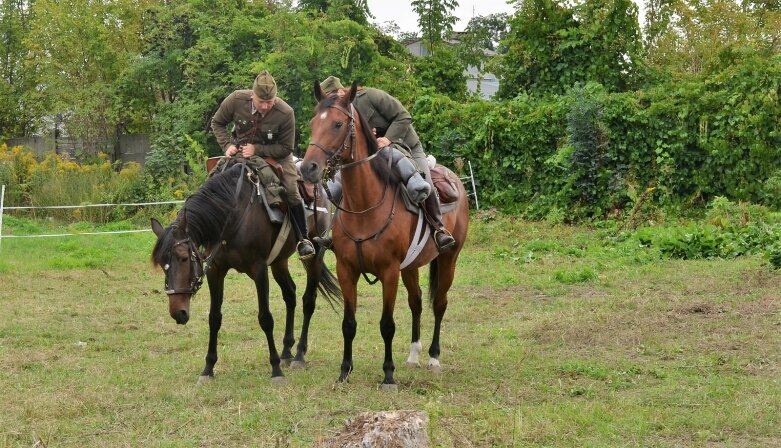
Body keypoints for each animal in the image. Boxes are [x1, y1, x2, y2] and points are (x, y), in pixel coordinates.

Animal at [149, 163, 338, 384]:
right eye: (162, 264)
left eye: (183, 258)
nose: (178, 312)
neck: (232, 215)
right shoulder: (216, 271)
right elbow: (214, 318)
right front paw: (208, 369)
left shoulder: (259, 270)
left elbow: (265, 318)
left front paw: (275, 370)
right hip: (279, 261)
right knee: (290, 295)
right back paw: (286, 351)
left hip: (314, 255)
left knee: (308, 300)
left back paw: (299, 355)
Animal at [300, 80, 470, 388]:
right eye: (312, 123)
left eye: (338, 124)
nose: (308, 168)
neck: (365, 207)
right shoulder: (347, 270)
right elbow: (349, 323)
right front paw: (344, 371)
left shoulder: (390, 272)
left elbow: (387, 325)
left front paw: (388, 375)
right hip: (411, 267)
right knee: (416, 302)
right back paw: (413, 354)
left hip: (449, 258)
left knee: (439, 304)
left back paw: (433, 358)